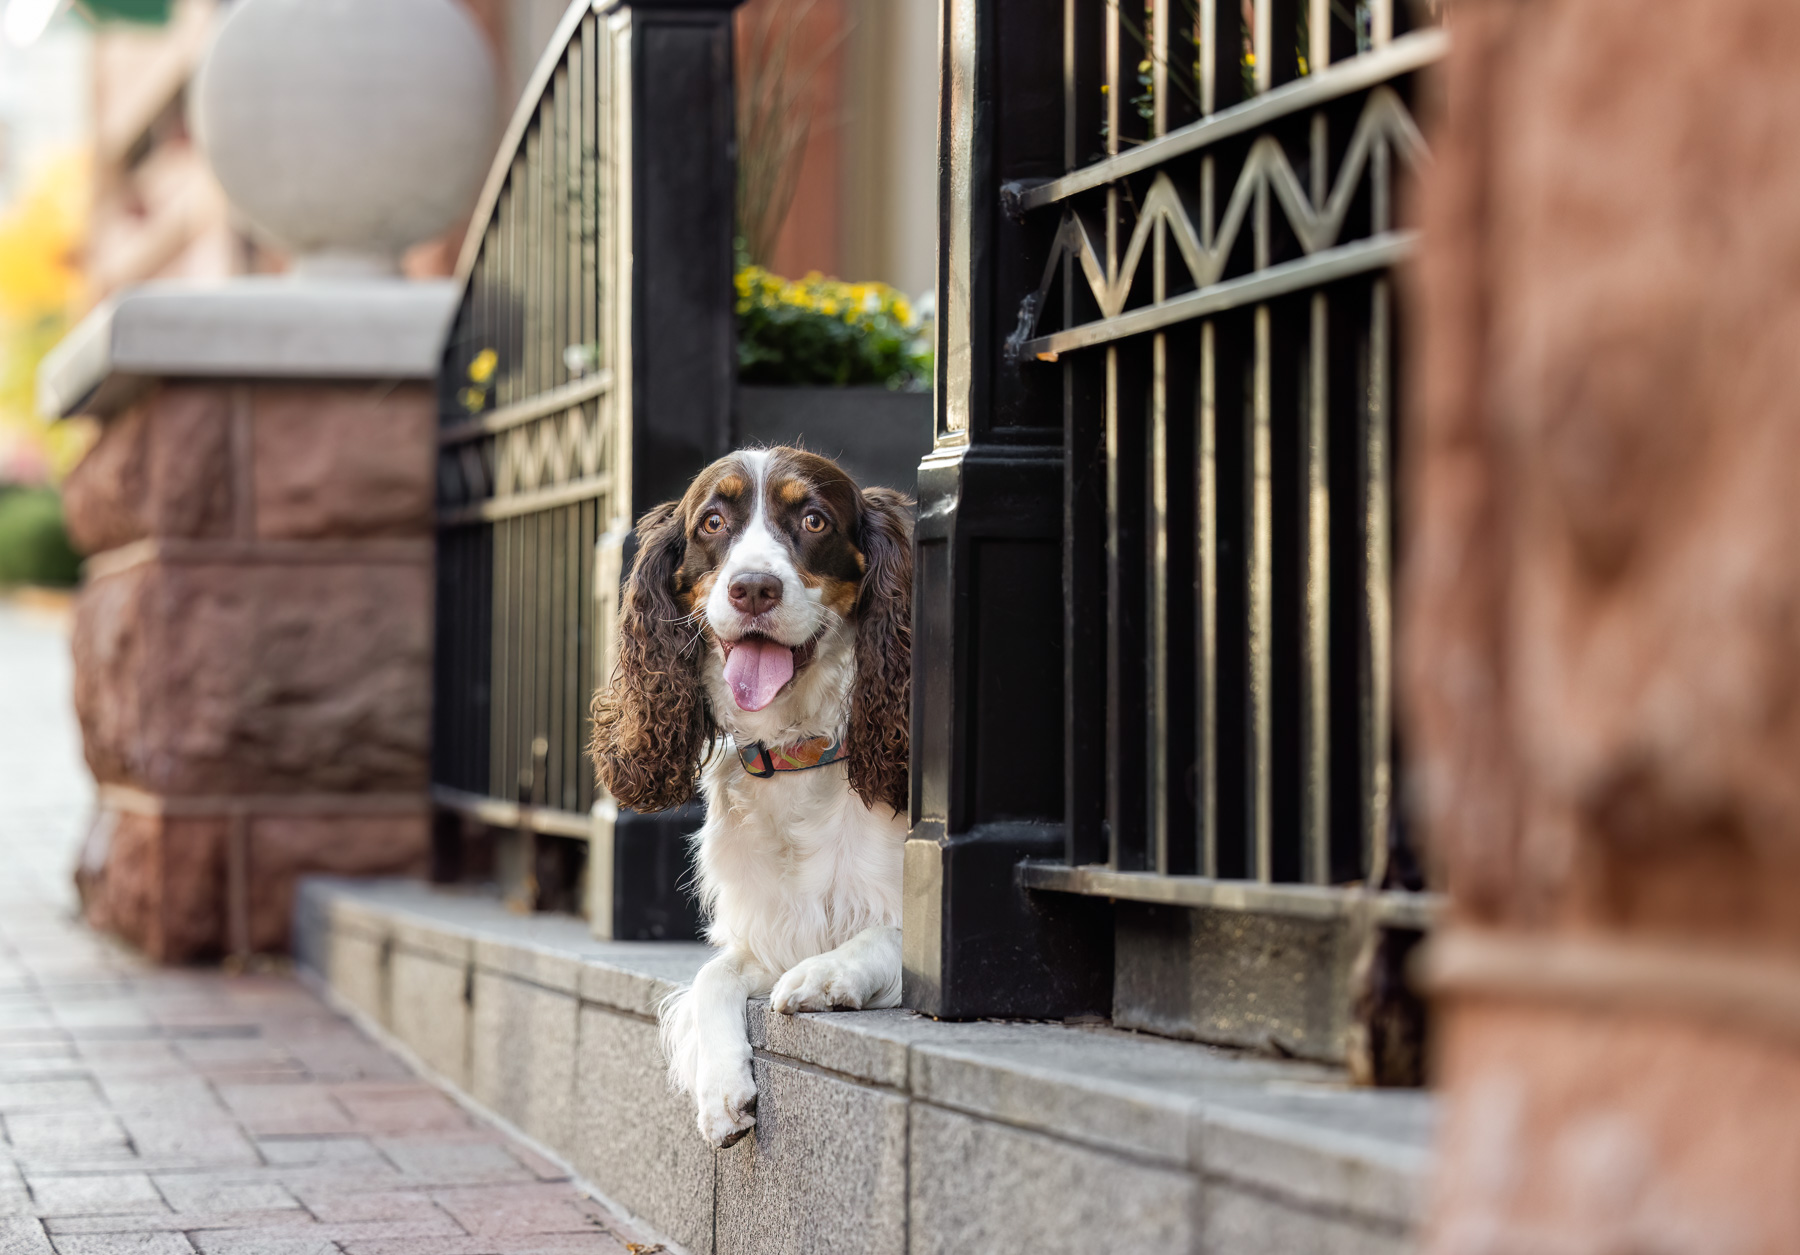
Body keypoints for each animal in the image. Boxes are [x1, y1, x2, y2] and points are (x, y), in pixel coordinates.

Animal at [594, 442, 914, 1145]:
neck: (800, 751)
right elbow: (712, 975)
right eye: (713, 523)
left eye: (815, 520)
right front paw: (722, 1093)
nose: (753, 588)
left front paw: (827, 974)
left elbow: (888, 936)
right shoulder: (769, 929)